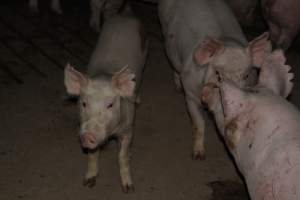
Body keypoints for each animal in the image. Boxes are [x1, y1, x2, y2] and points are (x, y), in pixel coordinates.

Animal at [63, 12, 148, 192]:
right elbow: (92, 155)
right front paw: (88, 182)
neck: (111, 133)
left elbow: (122, 157)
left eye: (110, 104)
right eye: (84, 103)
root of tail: (125, 17)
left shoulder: (128, 129)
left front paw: (129, 188)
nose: (88, 134)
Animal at [158, 0, 270, 160]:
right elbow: (199, 124)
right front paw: (198, 156)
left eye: (246, 76)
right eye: (218, 74)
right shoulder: (190, 94)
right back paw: (177, 88)